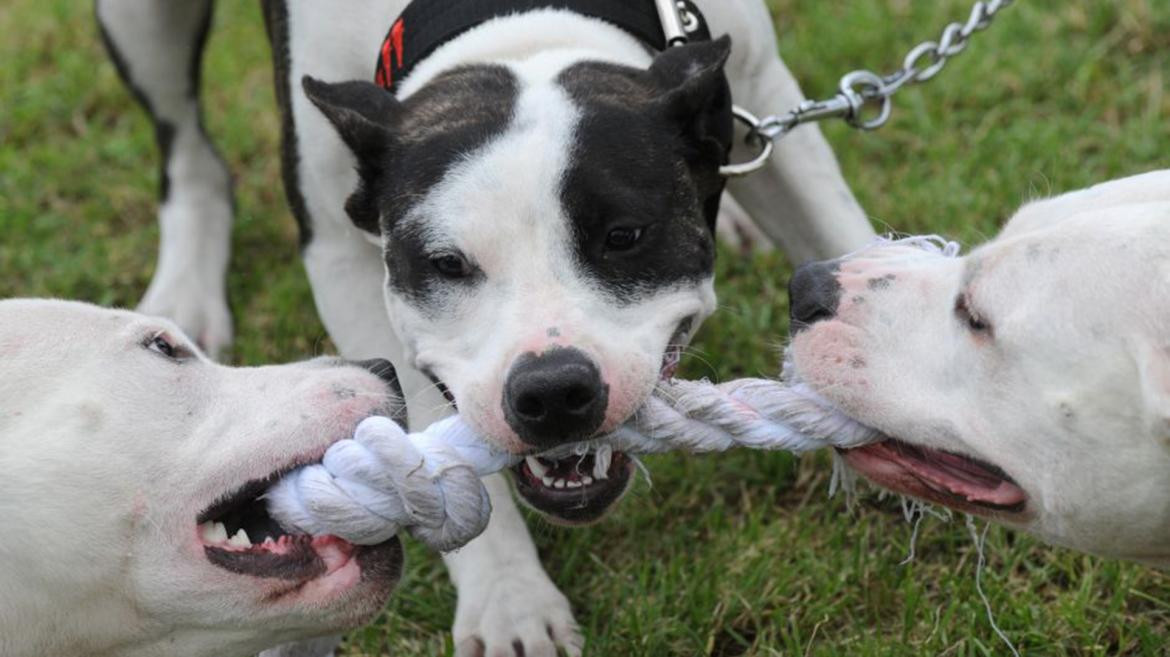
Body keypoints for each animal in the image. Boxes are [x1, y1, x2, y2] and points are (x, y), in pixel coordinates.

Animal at [93, 0, 879, 649]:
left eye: (624, 236)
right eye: (445, 263)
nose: (553, 390)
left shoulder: (767, 96)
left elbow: (846, 235)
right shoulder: (340, 252)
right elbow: (423, 446)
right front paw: (511, 599)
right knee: (187, 152)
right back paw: (186, 291)